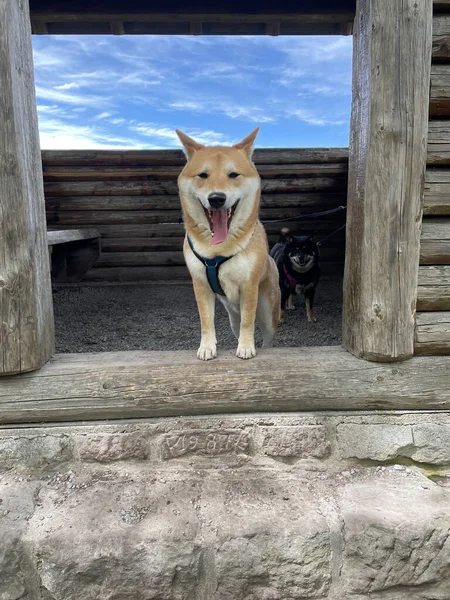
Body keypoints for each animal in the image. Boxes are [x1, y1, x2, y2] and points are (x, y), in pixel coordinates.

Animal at [175, 127, 278, 360]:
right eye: (203, 175)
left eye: (233, 175)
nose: (216, 198)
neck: (218, 251)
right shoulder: (200, 284)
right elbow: (206, 321)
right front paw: (207, 347)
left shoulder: (249, 286)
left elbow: (249, 322)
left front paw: (246, 347)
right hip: (232, 316)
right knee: (237, 325)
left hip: (267, 310)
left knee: (267, 335)